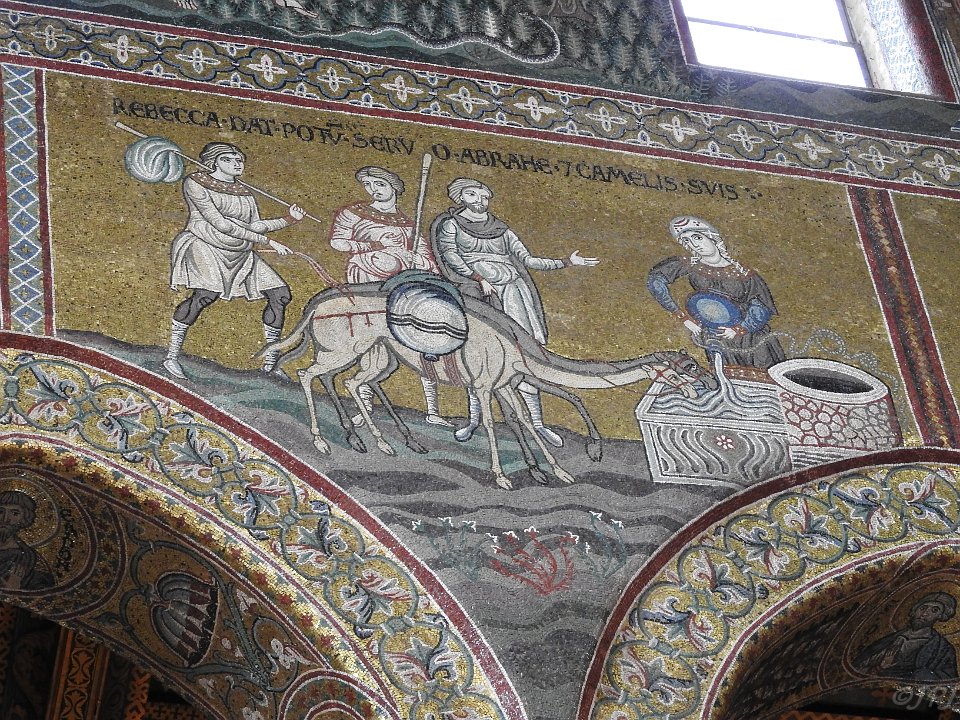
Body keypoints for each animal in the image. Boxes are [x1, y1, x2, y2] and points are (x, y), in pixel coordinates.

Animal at [264, 284, 717, 489]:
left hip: (377, 356)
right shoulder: (484, 386)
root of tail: (316, 304)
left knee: (349, 382)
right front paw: (504, 476)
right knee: (309, 375)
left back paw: (381, 442)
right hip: (349, 350)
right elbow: (493, 425)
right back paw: (325, 441)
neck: (518, 346)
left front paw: (553, 470)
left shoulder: (507, 384)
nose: (710, 383)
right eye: (687, 366)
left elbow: (526, 423)